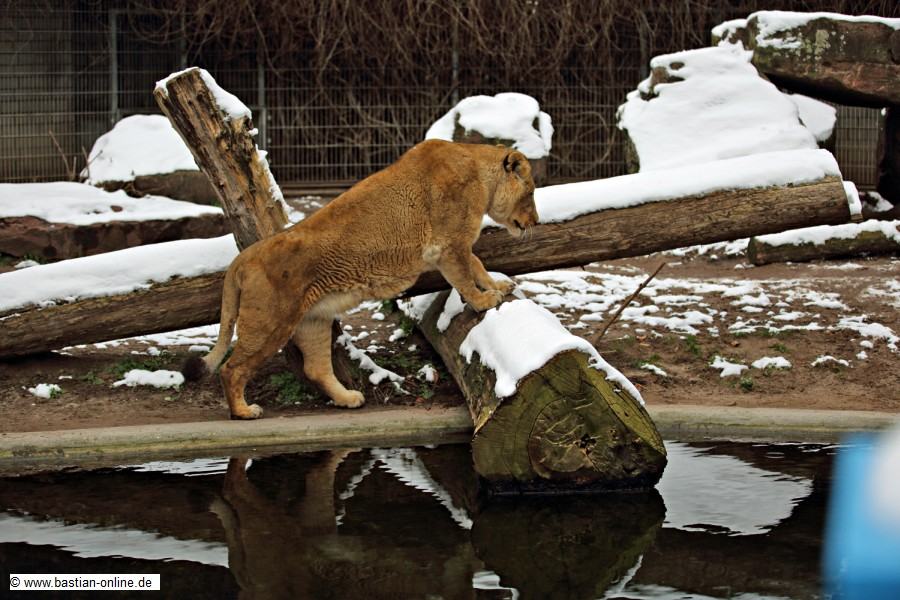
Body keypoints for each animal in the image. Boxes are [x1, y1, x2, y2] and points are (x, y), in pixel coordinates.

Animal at [183, 139, 539, 419]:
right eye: (531, 192)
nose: (535, 221)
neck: (481, 174)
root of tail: (243, 258)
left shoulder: (454, 247)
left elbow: (477, 265)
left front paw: (498, 285)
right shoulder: (448, 247)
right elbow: (465, 276)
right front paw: (483, 300)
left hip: (312, 320)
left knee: (315, 368)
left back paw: (348, 399)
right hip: (269, 322)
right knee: (231, 368)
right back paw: (243, 411)